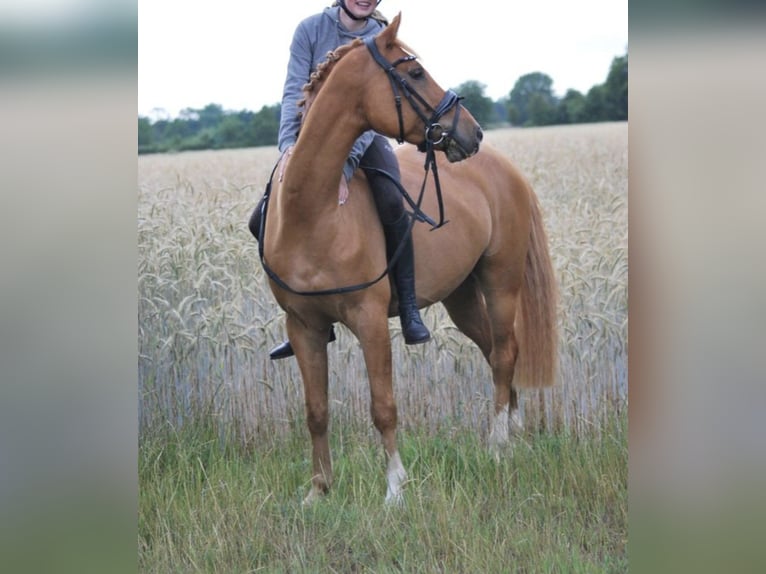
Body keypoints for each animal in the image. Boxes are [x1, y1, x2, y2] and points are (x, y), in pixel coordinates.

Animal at [258, 13, 557, 505]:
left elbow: (383, 406)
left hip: (501, 281)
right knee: (495, 352)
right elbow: (316, 410)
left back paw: (497, 445)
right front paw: (319, 491)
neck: (314, 211)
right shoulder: (303, 328)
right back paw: (514, 433)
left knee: (505, 352)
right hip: (462, 297)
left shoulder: (370, 321)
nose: (472, 131)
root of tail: (505, 167)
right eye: (414, 72)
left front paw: (395, 489)